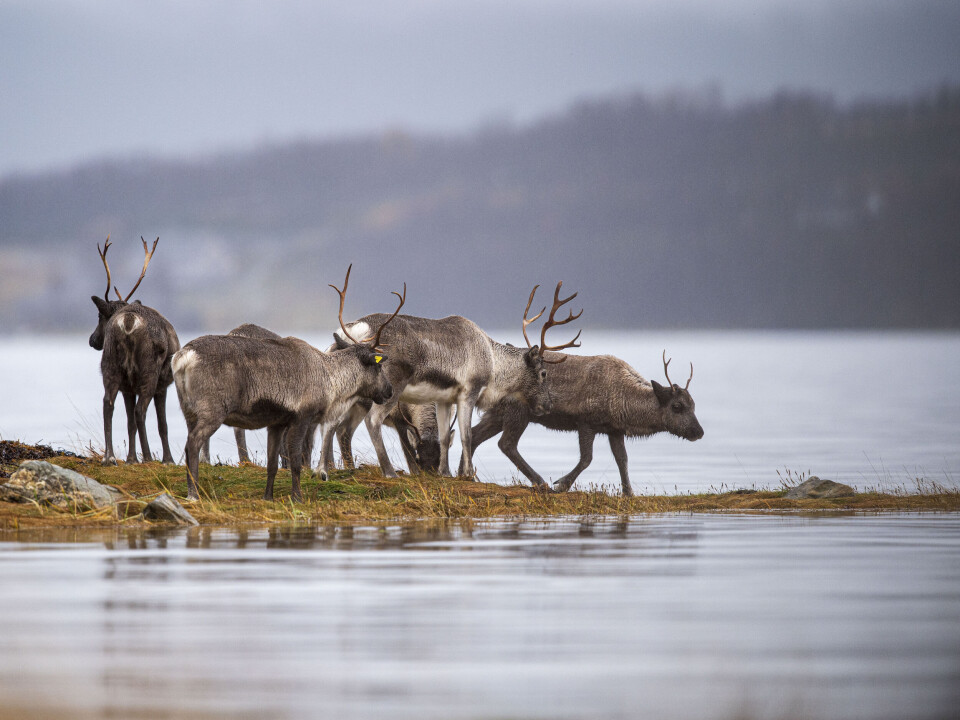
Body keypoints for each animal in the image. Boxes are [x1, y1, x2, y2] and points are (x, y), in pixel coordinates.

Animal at [88, 236, 180, 465]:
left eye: (99, 316)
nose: (92, 340)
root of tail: (127, 321)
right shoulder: (162, 385)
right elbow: (162, 425)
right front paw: (168, 459)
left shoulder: (127, 389)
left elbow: (129, 424)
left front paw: (131, 458)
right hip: (149, 371)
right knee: (140, 412)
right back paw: (147, 457)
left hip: (110, 366)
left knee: (108, 404)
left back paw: (109, 457)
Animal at [172, 268, 404, 502]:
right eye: (378, 366)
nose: (389, 390)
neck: (330, 380)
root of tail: (183, 357)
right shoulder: (302, 417)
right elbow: (295, 461)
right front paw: (297, 497)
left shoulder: (276, 423)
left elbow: (272, 464)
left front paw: (268, 497)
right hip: (212, 411)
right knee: (193, 443)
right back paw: (193, 494)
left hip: (188, 410)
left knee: (189, 443)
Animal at [331, 279, 582, 485]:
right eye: (544, 373)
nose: (547, 405)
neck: (493, 362)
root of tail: (355, 330)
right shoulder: (469, 392)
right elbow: (466, 435)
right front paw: (468, 474)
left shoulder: (444, 399)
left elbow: (444, 437)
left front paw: (446, 473)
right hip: (392, 386)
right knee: (372, 420)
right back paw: (389, 472)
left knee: (338, 427)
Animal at [468, 350, 703, 496]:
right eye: (677, 406)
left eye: (694, 404)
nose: (699, 432)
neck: (624, 399)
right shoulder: (586, 422)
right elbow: (586, 459)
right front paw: (561, 484)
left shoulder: (614, 429)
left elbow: (623, 460)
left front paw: (628, 492)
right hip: (519, 412)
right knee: (506, 444)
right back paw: (540, 481)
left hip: (497, 414)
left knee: (473, 436)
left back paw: (469, 477)